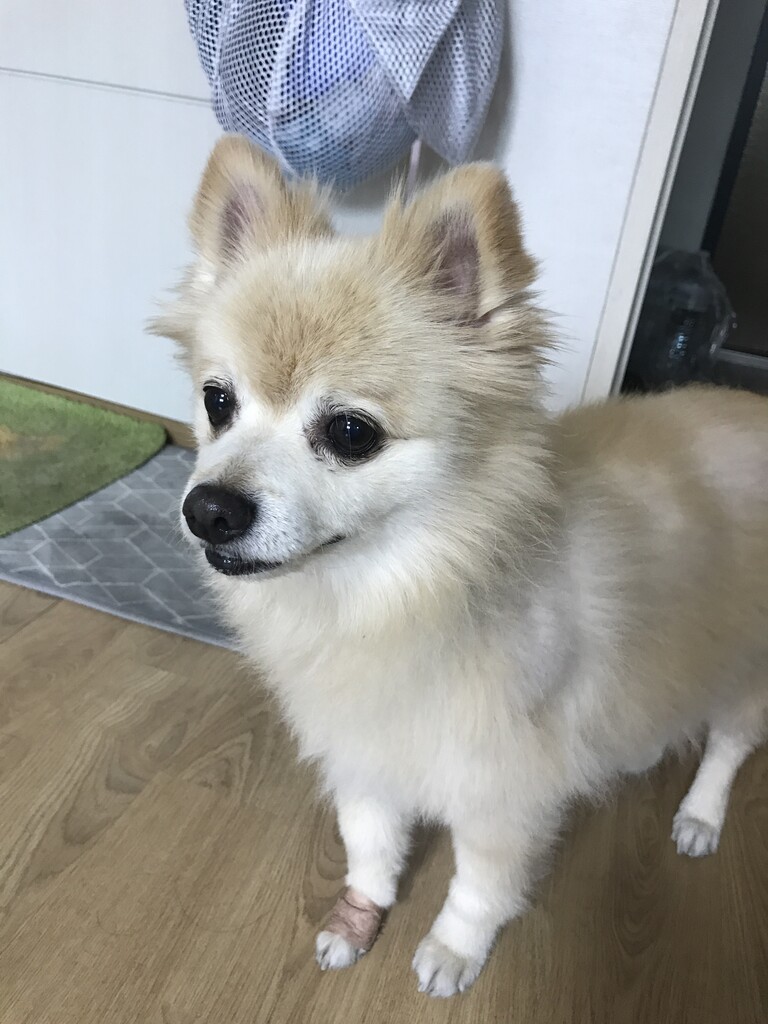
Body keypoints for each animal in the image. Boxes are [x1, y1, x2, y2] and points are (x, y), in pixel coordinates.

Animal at [153, 135, 768, 997]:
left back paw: (702, 814)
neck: (389, 594)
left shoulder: (503, 789)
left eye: (350, 433)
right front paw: (360, 913)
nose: (208, 507)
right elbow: (369, 843)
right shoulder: (364, 751)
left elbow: (479, 885)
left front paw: (452, 950)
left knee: (730, 745)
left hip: (748, 664)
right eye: (218, 403)